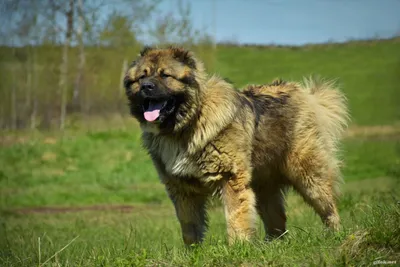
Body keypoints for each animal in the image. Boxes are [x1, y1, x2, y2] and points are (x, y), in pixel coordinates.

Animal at [123, 47, 348, 246]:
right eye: (141, 77)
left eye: (165, 75)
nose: (146, 87)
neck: (186, 124)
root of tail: (304, 93)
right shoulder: (182, 188)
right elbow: (189, 226)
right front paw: (193, 252)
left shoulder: (230, 177)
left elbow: (235, 217)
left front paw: (238, 247)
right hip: (264, 186)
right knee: (277, 220)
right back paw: (273, 245)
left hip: (309, 176)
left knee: (328, 208)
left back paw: (336, 236)